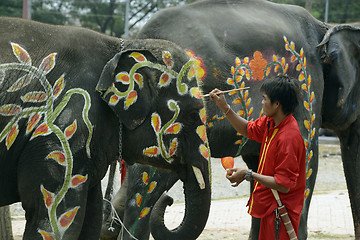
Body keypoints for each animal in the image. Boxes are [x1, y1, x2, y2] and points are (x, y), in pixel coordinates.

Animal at [0, 16, 212, 240]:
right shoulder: (61, 135)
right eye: (192, 115)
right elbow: (53, 221)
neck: (122, 46)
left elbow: (91, 218)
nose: (169, 200)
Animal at [103, 0, 358, 240]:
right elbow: (306, 165)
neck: (325, 27)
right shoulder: (307, 91)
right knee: (144, 189)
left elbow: (261, 169)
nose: (170, 201)